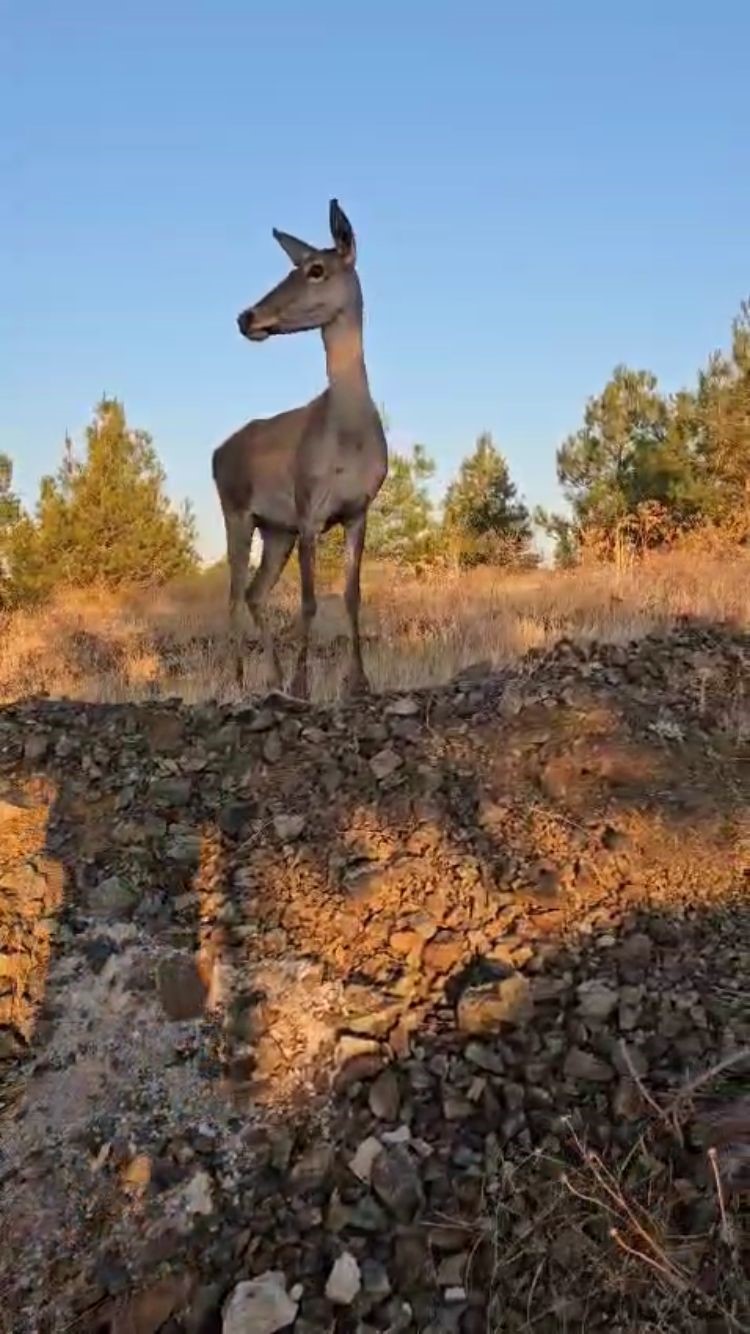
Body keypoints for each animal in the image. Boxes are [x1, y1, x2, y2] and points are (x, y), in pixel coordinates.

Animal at [210, 200, 384, 699]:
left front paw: (358, 680)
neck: (349, 435)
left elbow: (351, 595)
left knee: (255, 592)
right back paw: (238, 680)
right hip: (236, 511)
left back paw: (271, 677)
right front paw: (304, 682)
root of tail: (216, 453)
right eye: (294, 265)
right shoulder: (309, 510)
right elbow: (308, 601)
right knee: (233, 594)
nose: (247, 317)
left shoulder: (358, 510)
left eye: (315, 269)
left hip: (275, 530)